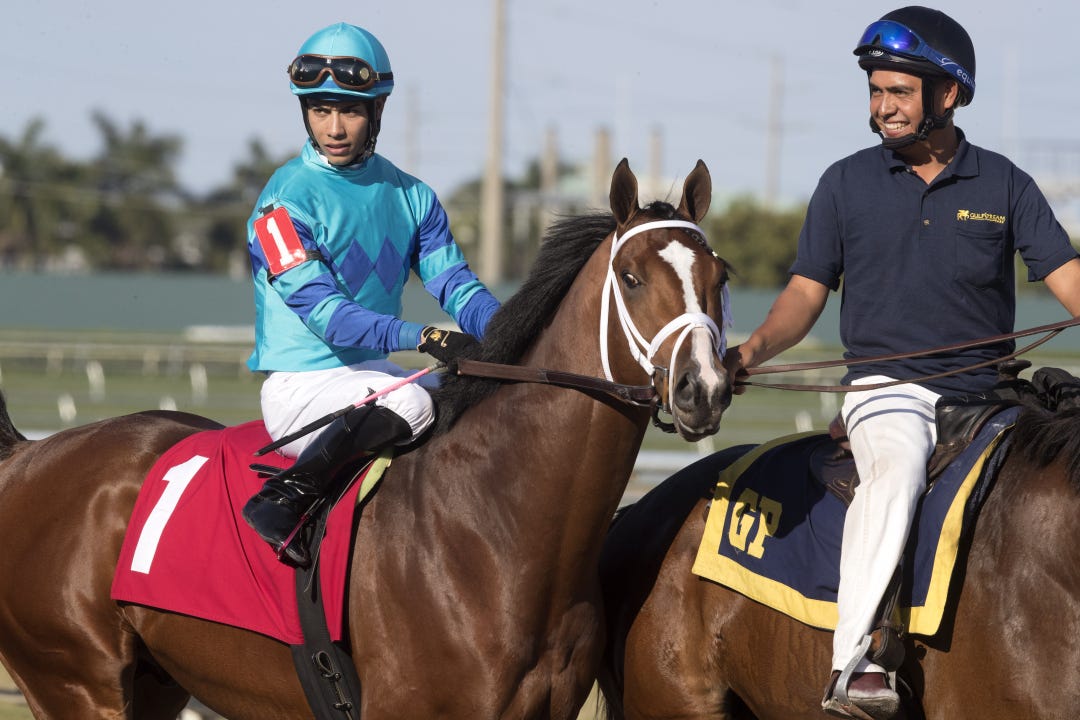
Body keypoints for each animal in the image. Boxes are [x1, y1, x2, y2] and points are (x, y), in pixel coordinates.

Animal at [0, 158, 733, 720]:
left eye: (719, 277)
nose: (702, 387)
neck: (498, 527)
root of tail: (28, 455)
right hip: (75, 682)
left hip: (153, 683)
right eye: (632, 278)